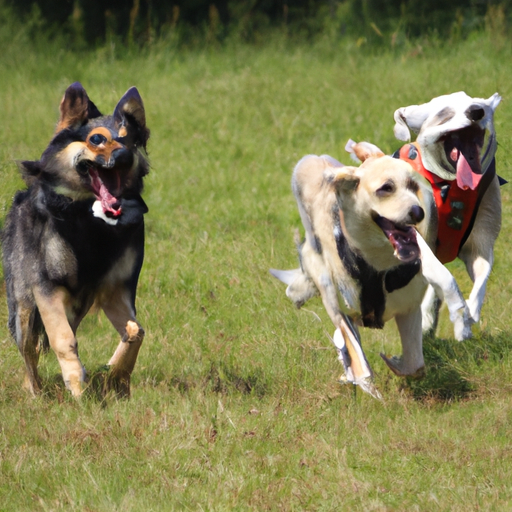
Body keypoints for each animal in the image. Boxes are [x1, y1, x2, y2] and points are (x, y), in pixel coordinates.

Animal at [2, 82, 150, 398]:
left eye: (130, 141)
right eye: (97, 139)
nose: (125, 157)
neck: (90, 220)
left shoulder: (116, 289)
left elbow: (136, 331)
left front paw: (117, 375)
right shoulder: (46, 289)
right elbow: (63, 340)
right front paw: (77, 386)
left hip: (75, 306)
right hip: (23, 308)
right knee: (29, 350)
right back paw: (35, 391)